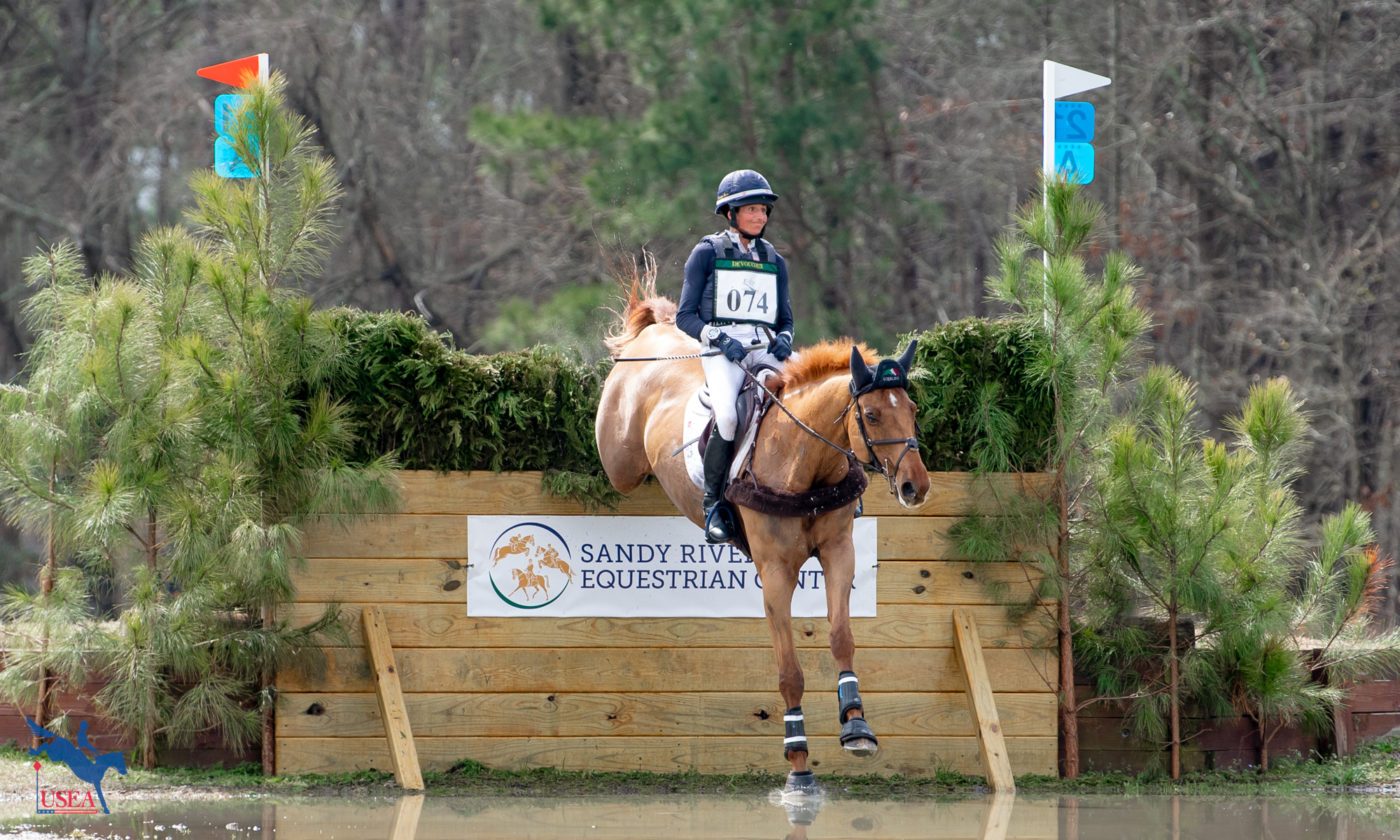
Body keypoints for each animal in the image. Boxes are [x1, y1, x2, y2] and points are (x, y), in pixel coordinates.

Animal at [593, 275, 929, 795]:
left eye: (911, 409)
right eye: (871, 416)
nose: (916, 486)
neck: (805, 461)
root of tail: (653, 334)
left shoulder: (839, 553)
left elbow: (841, 637)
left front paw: (856, 724)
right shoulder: (774, 573)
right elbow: (789, 672)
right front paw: (799, 762)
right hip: (619, 462)